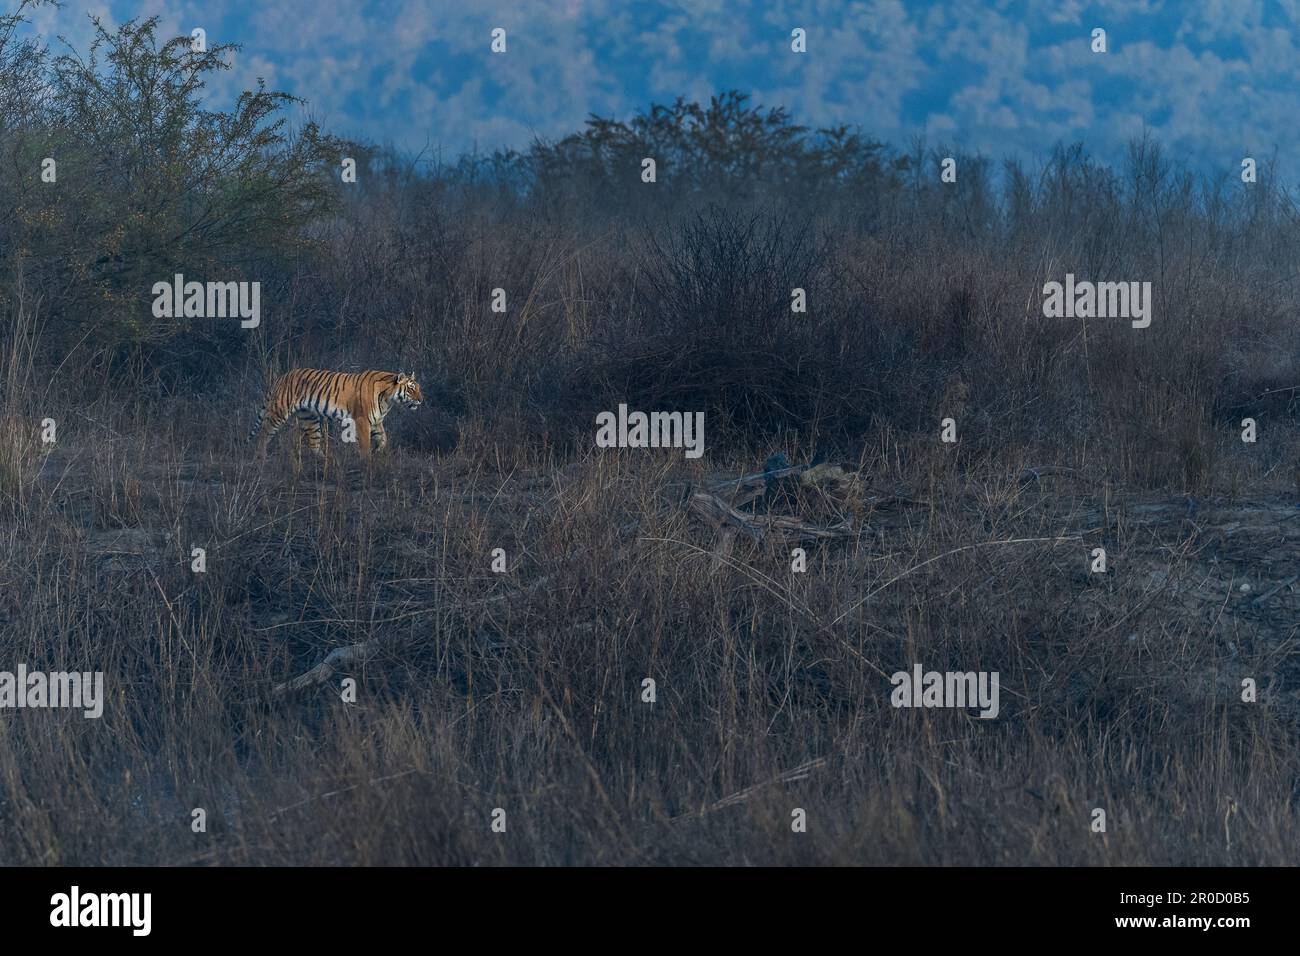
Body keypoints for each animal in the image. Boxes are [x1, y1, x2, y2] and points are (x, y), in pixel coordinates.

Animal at [248, 369, 421, 463]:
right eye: (411, 388)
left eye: (418, 388)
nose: (421, 400)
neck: (388, 399)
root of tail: (282, 376)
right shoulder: (362, 420)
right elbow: (365, 443)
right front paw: (366, 461)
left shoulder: (376, 421)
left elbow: (384, 438)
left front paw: (378, 451)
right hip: (279, 412)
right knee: (264, 432)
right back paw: (261, 457)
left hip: (309, 418)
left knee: (314, 443)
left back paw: (326, 460)